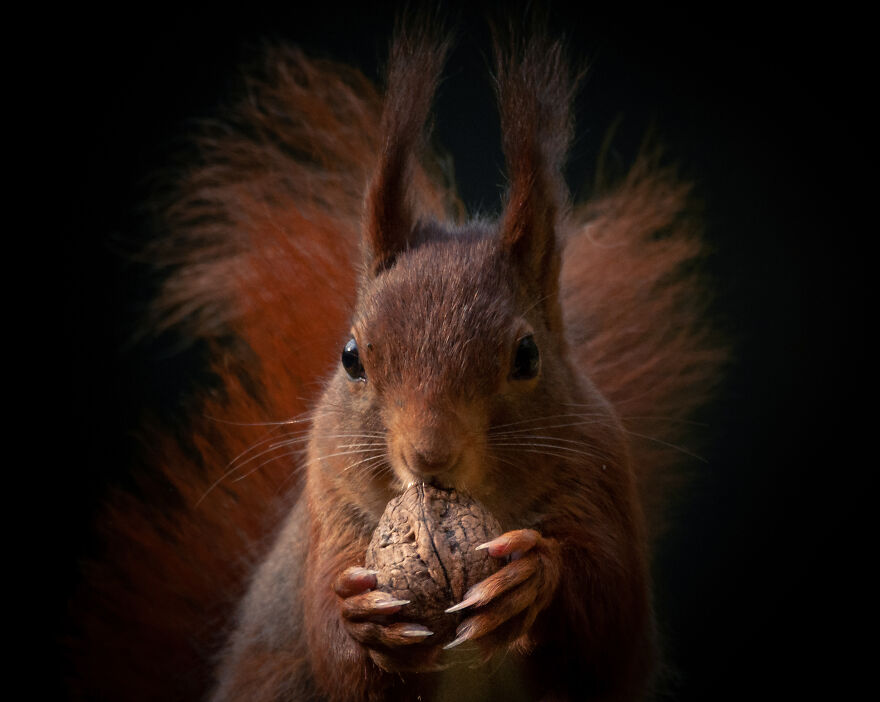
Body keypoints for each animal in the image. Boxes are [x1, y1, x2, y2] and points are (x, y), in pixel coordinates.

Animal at [69, 17, 725, 702]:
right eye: (351, 357)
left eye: (527, 355)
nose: (429, 456)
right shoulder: (329, 502)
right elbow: (338, 654)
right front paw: (359, 620)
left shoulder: (602, 479)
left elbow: (611, 629)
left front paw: (531, 578)